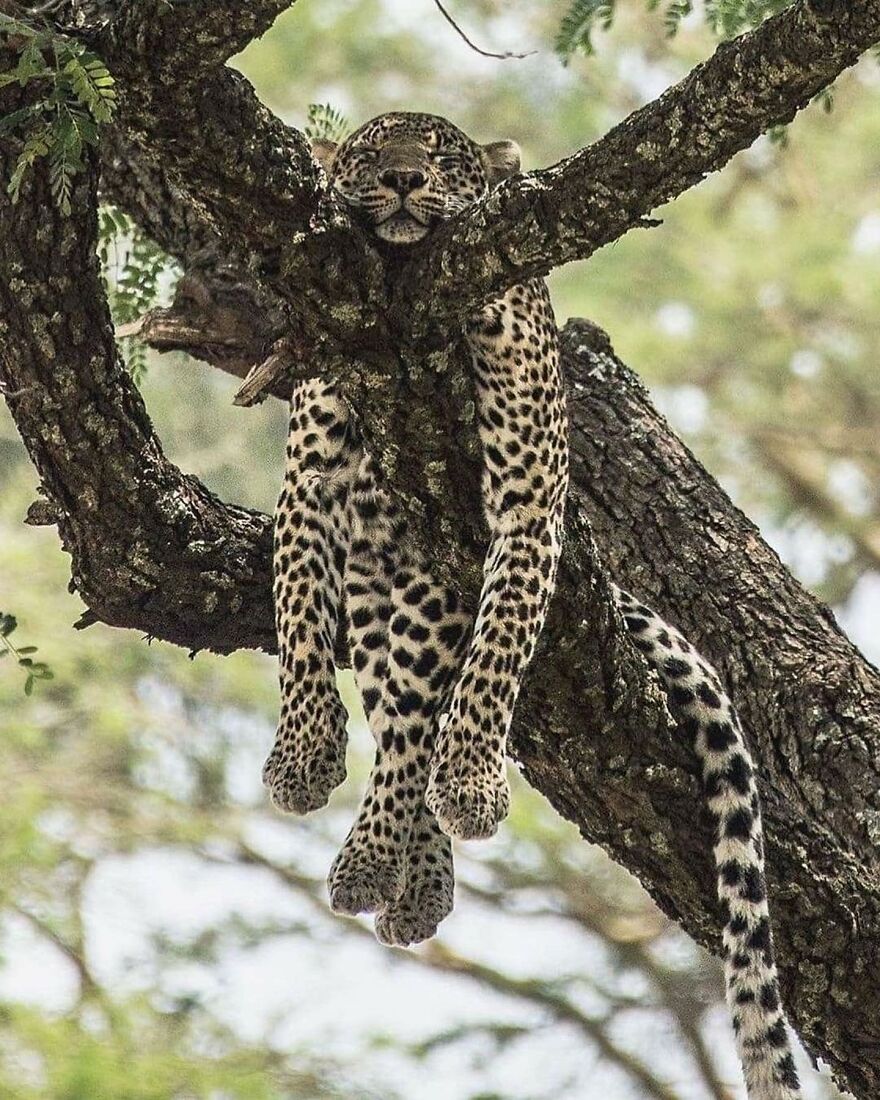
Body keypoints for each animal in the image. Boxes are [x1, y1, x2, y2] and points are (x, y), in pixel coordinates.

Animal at [262, 111, 801, 1100]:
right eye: (369, 152)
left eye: (441, 154)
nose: (403, 180)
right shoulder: (309, 491)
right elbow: (299, 631)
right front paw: (304, 756)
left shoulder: (517, 512)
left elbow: (493, 658)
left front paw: (468, 783)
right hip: (380, 575)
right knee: (391, 706)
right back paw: (410, 876)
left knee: (412, 718)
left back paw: (384, 861)